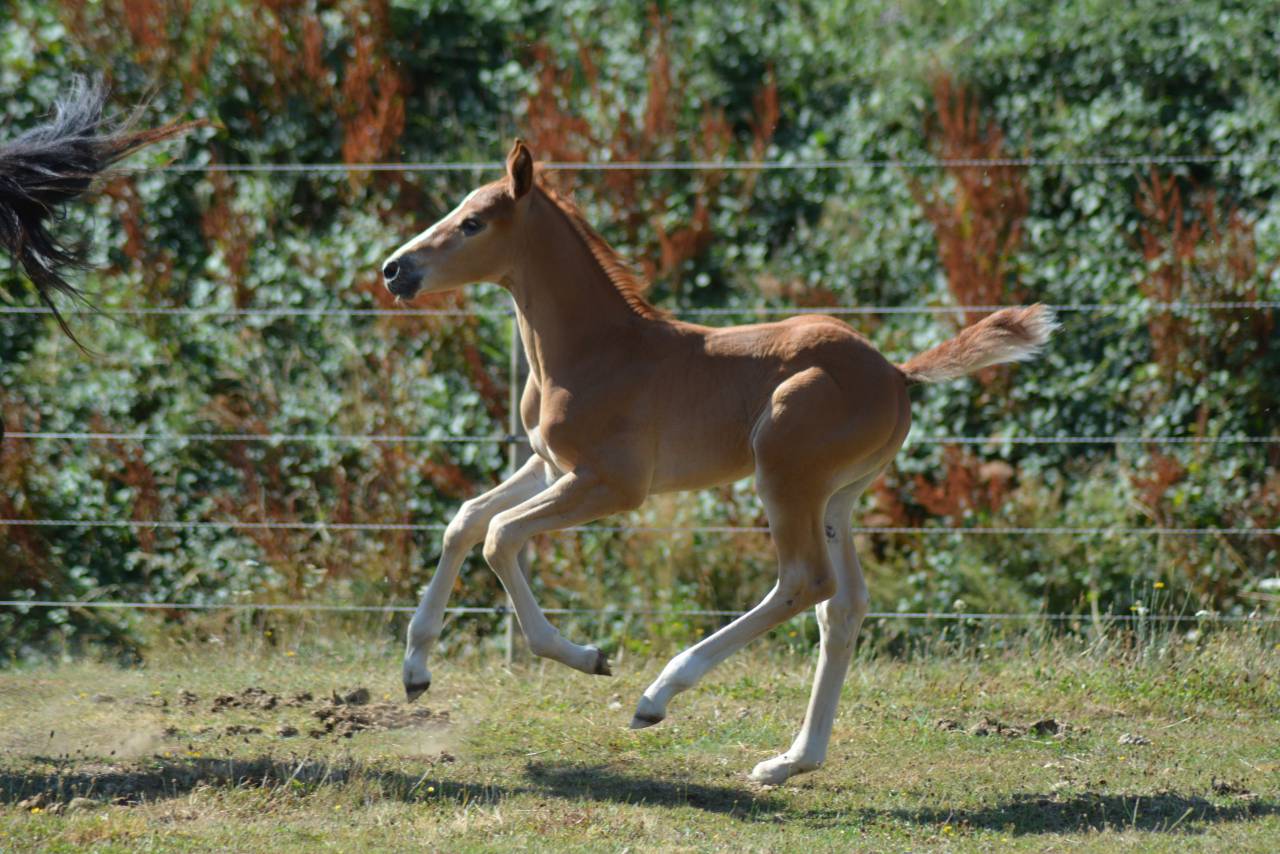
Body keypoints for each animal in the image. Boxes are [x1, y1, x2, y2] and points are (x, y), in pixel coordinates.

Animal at [381, 139, 1055, 786]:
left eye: (472, 223)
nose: (395, 269)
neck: (594, 350)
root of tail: (895, 373)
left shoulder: (611, 484)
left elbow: (499, 535)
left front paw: (588, 657)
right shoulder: (550, 466)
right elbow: (466, 519)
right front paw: (415, 670)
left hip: (783, 474)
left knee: (805, 582)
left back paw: (659, 696)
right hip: (836, 498)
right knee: (842, 607)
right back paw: (791, 762)